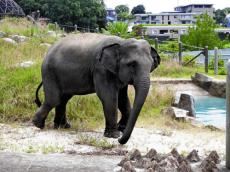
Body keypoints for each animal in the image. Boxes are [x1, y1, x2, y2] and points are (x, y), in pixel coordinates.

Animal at [32, 33, 160, 144]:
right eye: (132, 64)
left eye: (151, 65)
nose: (120, 141)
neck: (121, 42)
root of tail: (48, 51)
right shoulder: (101, 69)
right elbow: (109, 97)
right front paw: (115, 135)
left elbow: (122, 99)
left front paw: (121, 129)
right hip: (49, 72)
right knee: (54, 99)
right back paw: (38, 124)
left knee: (63, 99)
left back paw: (62, 127)